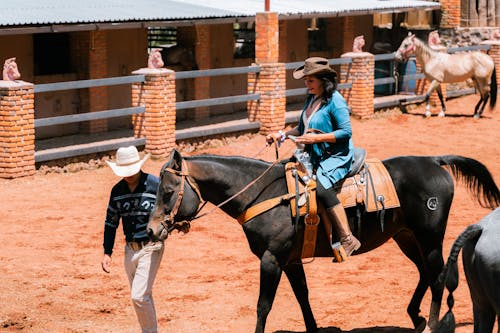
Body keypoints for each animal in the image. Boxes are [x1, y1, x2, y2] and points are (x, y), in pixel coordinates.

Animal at [148, 150, 500, 332]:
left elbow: (263, 305)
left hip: (430, 239)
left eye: (167, 193)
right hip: (406, 237)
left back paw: (430, 323)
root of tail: (434, 160)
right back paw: (416, 316)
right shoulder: (290, 260)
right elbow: (303, 297)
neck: (264, 194)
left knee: (438, 278)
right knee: (425, 274)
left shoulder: (272, 259)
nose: (151, 231)